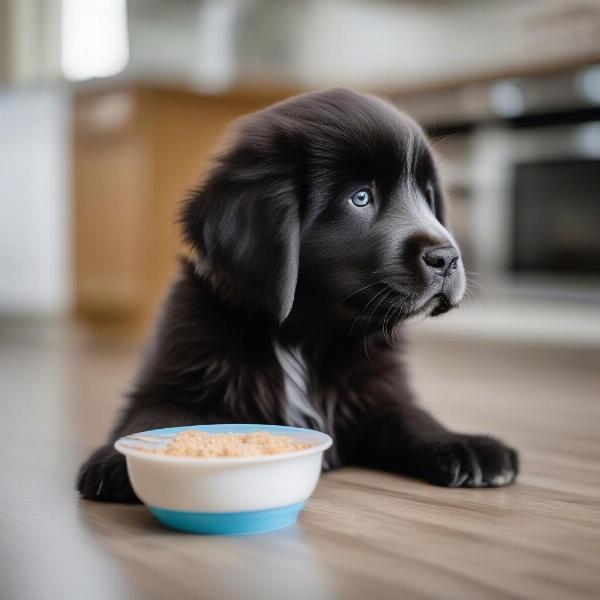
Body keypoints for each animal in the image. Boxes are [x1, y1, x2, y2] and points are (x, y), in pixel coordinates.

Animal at [78, 88, 520, 502]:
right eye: (361, 197)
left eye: (428, 197)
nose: (447, 257)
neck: (304, 336)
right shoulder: (177, 373)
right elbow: (154, 414)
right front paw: (116, 459)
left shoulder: (376, 390)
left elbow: (411, 417)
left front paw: (465, 444)